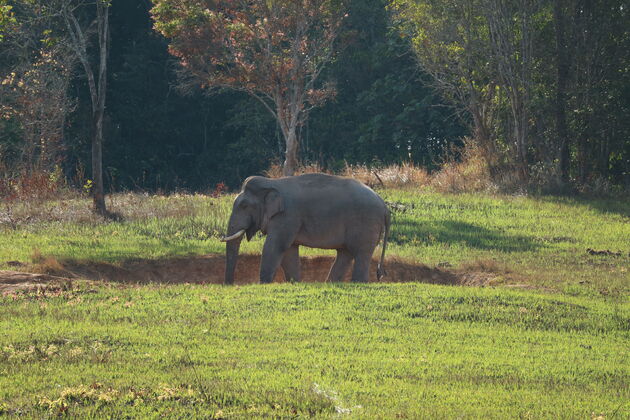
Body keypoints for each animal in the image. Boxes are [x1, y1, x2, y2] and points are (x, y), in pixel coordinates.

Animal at [221, 172, 390, 284]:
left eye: (244, 206)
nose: (230, 284)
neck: (272, 183)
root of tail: (384, 204)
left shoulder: (287, 215)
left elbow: (275, 246)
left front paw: (263, 284)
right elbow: (289, 250)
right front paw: (294, 283)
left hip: (365, 223)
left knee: (361, 253)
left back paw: (358, 283)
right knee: (345, 253)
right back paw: (330, 283)